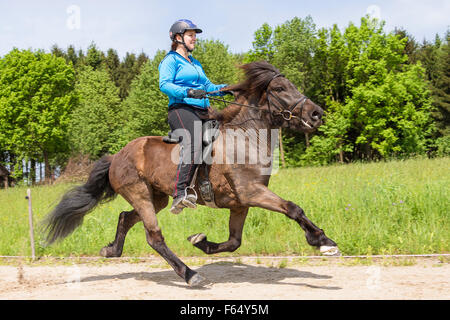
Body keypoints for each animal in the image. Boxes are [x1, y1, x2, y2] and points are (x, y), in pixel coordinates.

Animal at [43, 61, 338, 286]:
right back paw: (189, 274)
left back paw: (111, 250)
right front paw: (324, 241)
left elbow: (234, 241)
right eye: (279, 88)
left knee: (125, 218)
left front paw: (201, 242)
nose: (317, 114)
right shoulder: (252, 192)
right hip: (139, 194)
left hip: (157, 198)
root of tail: (116, 156)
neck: (245, 137)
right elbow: (293, 208)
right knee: (154, 237)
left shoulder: (240, 203)